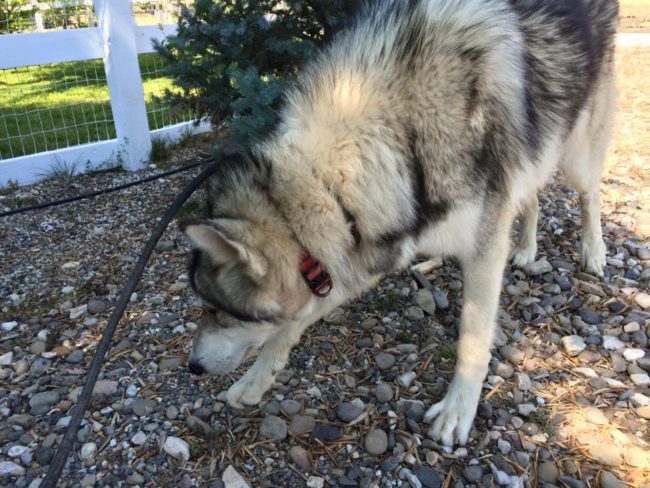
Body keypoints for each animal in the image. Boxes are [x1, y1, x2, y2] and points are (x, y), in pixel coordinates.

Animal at [180, 0, 616, 444]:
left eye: (217, 309)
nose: (192, 367)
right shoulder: (367, 250)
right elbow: (289, 326)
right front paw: (254, 382)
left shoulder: (482, 251)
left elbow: (472, 340)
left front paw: (458, 411)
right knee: (532, 197)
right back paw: (527, 248)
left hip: (575, 158)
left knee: (589, 195)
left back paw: (593, 252)